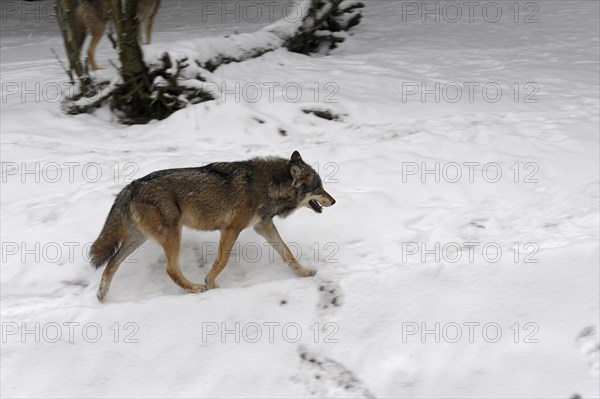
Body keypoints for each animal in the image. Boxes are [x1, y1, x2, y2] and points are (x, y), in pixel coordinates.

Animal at [92, 152, 340, 302]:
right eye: (319, 188)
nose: (334, 201)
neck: (269, 186)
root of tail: (132, 185)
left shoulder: (263, 226)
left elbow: (287, 253)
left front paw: (305, 272)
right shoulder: (231, 229)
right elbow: (222, 261)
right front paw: (211, 285)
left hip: (138, 239)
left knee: (111, 264)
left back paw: (102, 296)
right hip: (172, 234)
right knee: (171, 269)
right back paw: (196, 288)